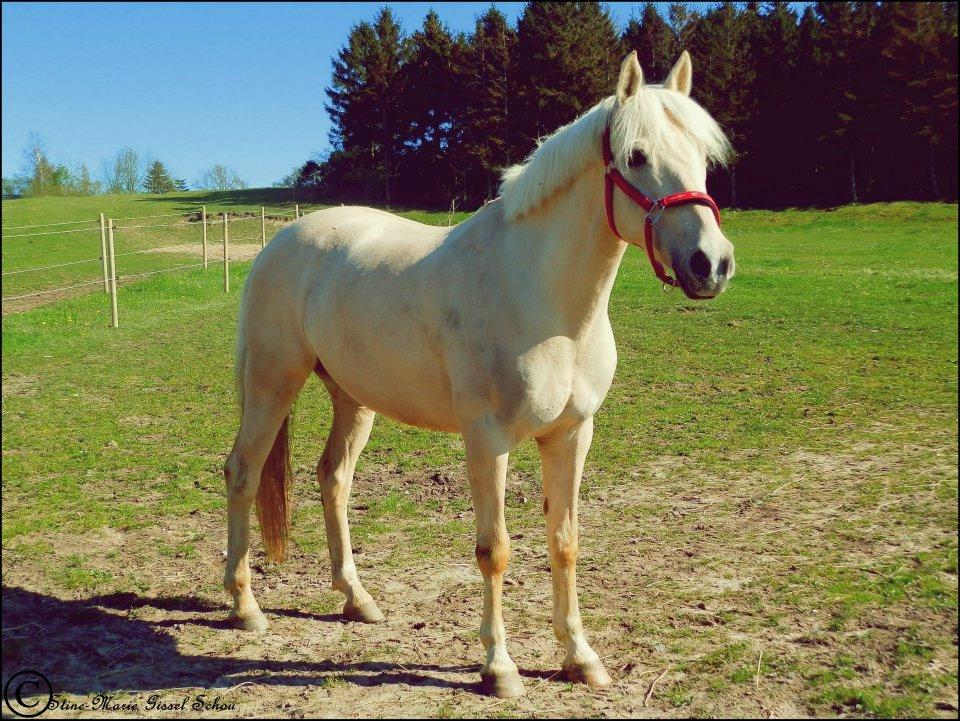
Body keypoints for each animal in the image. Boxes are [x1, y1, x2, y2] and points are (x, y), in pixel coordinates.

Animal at [223, 50, 734, 698]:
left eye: (705, 156)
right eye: (637, 156)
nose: (710, 264)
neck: (543, 300)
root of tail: (281, 241)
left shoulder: (572, 434)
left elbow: (564, 541)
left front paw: (580, 658)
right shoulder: (488, 438)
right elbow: (495, 551)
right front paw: (500, 668)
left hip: (353, 397)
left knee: (333, 478)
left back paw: (357, 599)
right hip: (272, 385)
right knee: (242, 473)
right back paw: (245, 607)